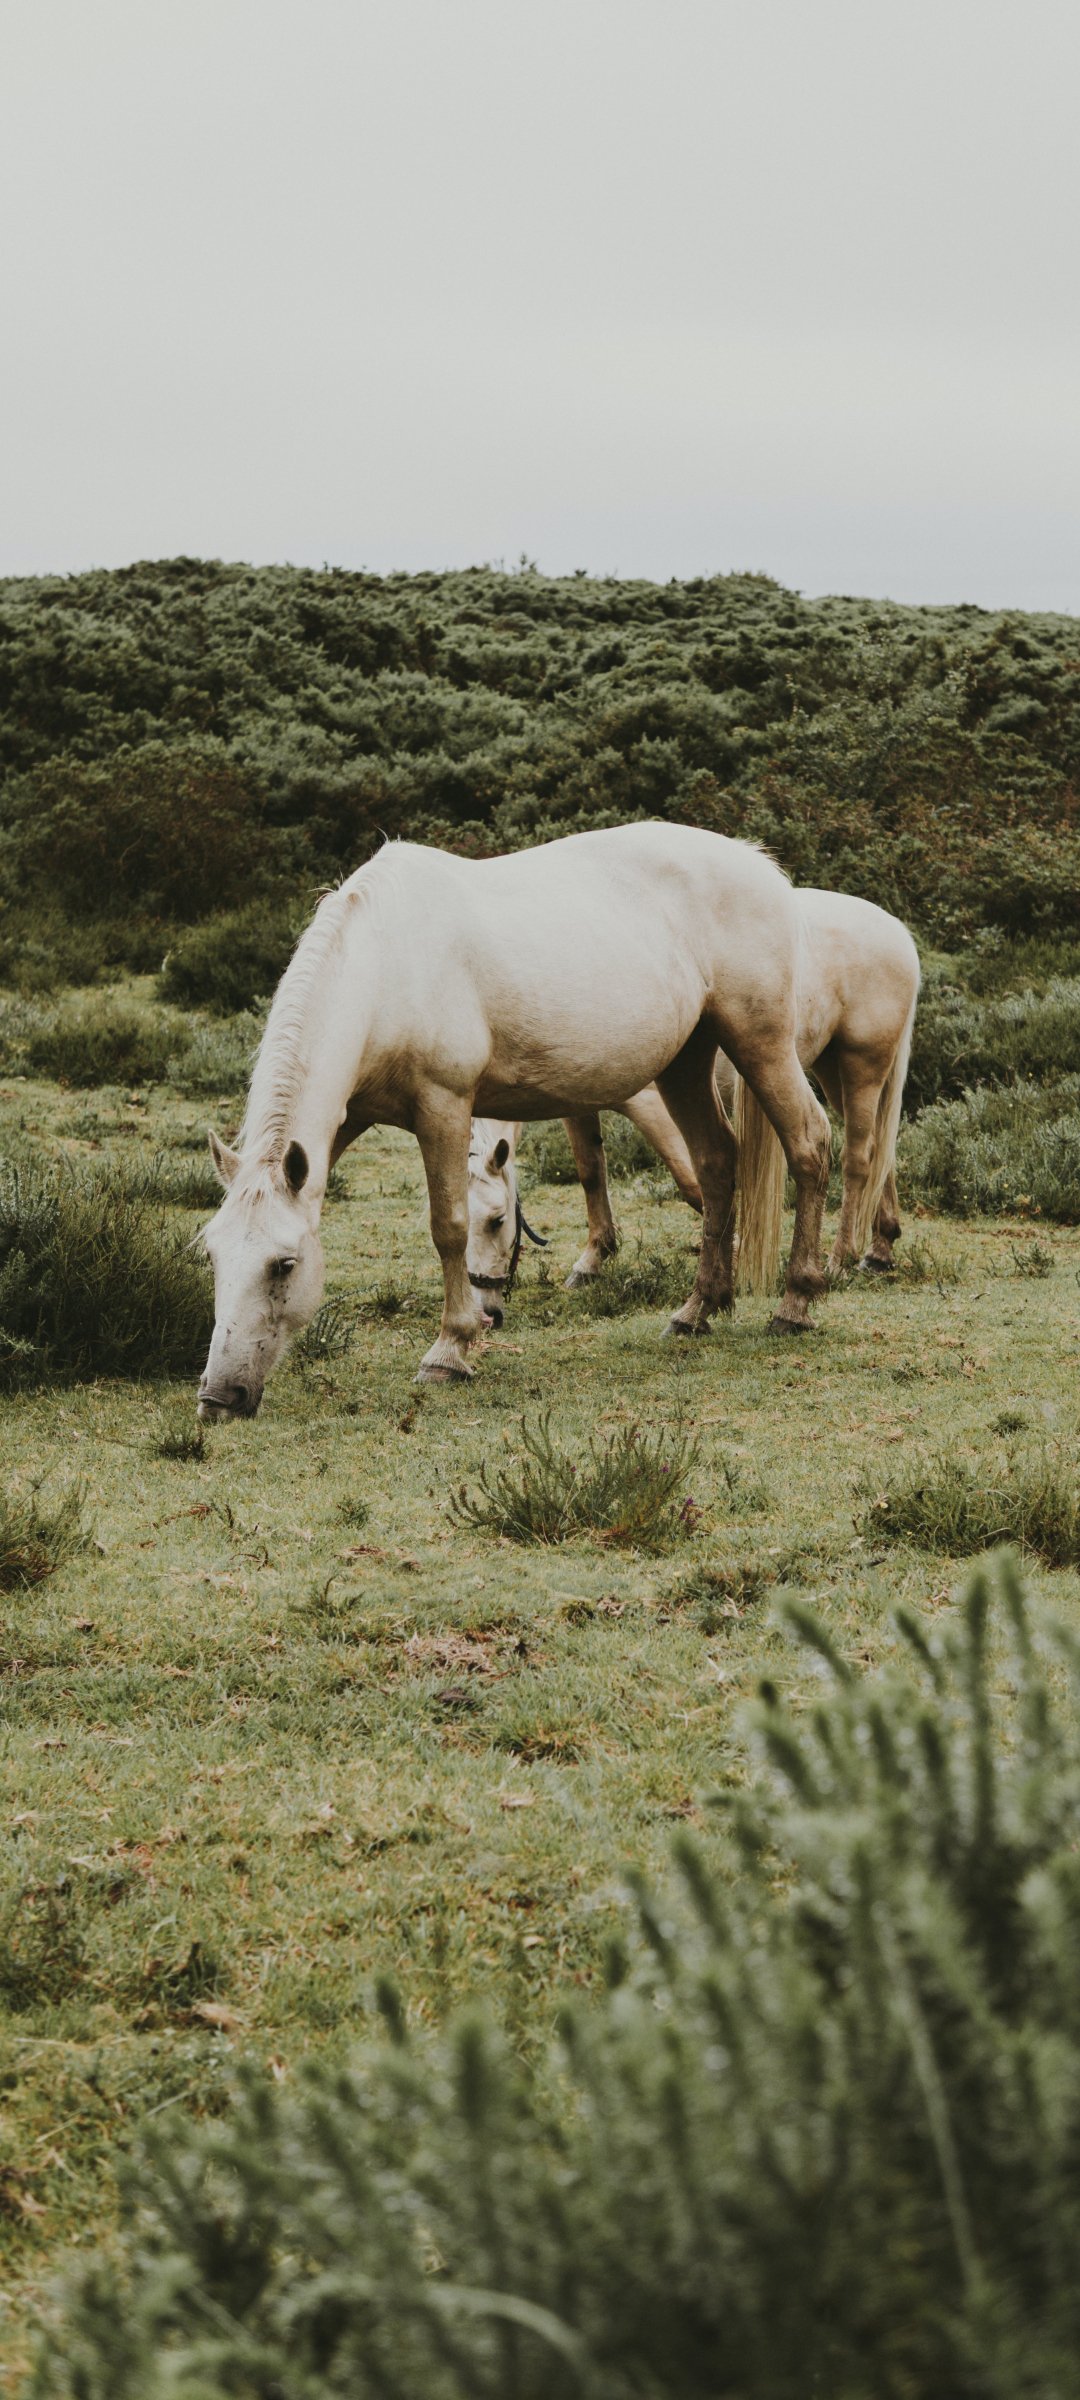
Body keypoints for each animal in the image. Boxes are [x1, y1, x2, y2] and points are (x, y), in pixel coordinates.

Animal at [196, 823, 831, 1419]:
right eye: (215, 1256)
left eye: (284, 1265)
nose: (219, 1398)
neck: (386, 962)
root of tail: (758, 864)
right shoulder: (347, 1120)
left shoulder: (445, 1107)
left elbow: (448, 1227)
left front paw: (449, 1351)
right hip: (686, 1063)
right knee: (717, 1163)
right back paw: (698, 1310)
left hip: (760, 1044)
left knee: (809, 1144)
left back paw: (795, 1303)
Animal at [466, 889, 919, 1304]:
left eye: (496, 1220)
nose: (483, 1298)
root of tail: (899, 934)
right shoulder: (577, 1108)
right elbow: (591, 1172)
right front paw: (593, 1260)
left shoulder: (650, 1106)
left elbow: (690, 1182)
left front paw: (725, 1260)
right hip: (831, 1071)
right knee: (881, 1153)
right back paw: (879, 1250)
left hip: (861, 1068)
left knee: (859, 1157)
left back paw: (841, 1258)